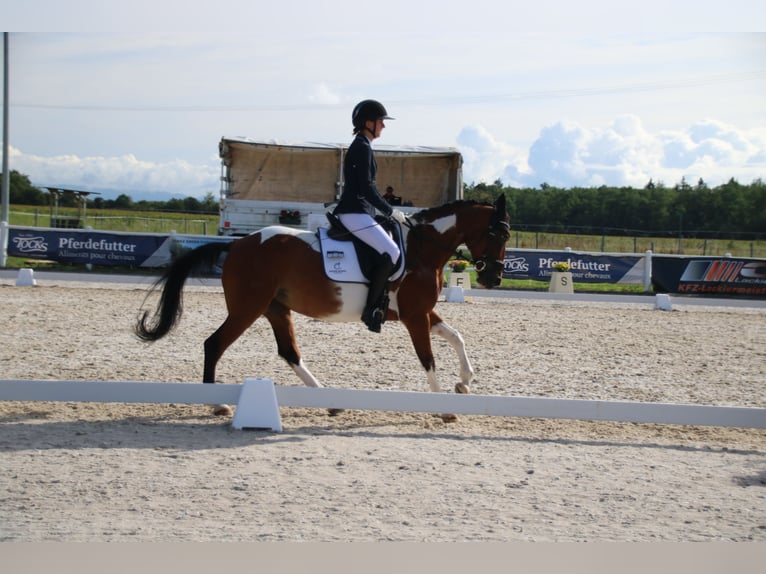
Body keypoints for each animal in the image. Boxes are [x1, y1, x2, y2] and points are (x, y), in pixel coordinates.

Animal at [136, 196, 512, 420]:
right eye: (500, 235)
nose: (493, 278)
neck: (422, 248)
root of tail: (239, 245)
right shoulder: (414, 317)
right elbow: (428, 359)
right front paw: (444, 408)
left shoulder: (421, 313)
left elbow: (457, 336)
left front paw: (464, 383)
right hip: (248, 308)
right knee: (214, 344)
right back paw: (216, 403)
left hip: (275, 308)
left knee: (289, 352)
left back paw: (329, 402)